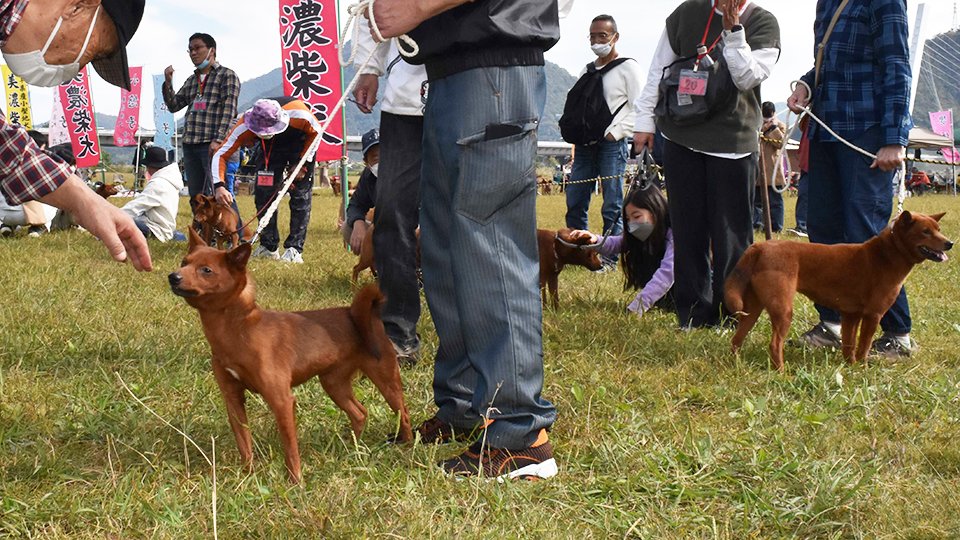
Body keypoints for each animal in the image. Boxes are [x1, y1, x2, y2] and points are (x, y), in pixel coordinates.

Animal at [169, 230, 412, 484]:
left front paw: (296, 482)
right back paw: (351, 447)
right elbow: (244, 443)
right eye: (184, 262)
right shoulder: (233, 399)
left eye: (206, 270)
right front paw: (248, 475)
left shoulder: (282, 401)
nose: (173, 277)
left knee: (403, 414)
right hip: (334, 384)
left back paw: (404, 445)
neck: (239, 329)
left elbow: (290, 448)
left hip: (386, 379)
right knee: (360, 413)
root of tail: (357, 313)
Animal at [728, 211, 952, 372]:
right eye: (925, 231)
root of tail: (759, 247)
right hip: (783, 310)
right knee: (775, 345)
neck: (887, 255)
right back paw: (782, 372)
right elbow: (864, 346)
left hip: (752, 309)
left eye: (939, 229)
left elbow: (849, 345)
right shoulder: (873, 315)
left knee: (737, 339)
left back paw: (737, 364)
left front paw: (850, 365)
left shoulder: (851, 315)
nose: (950, 243)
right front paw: (862, 368)